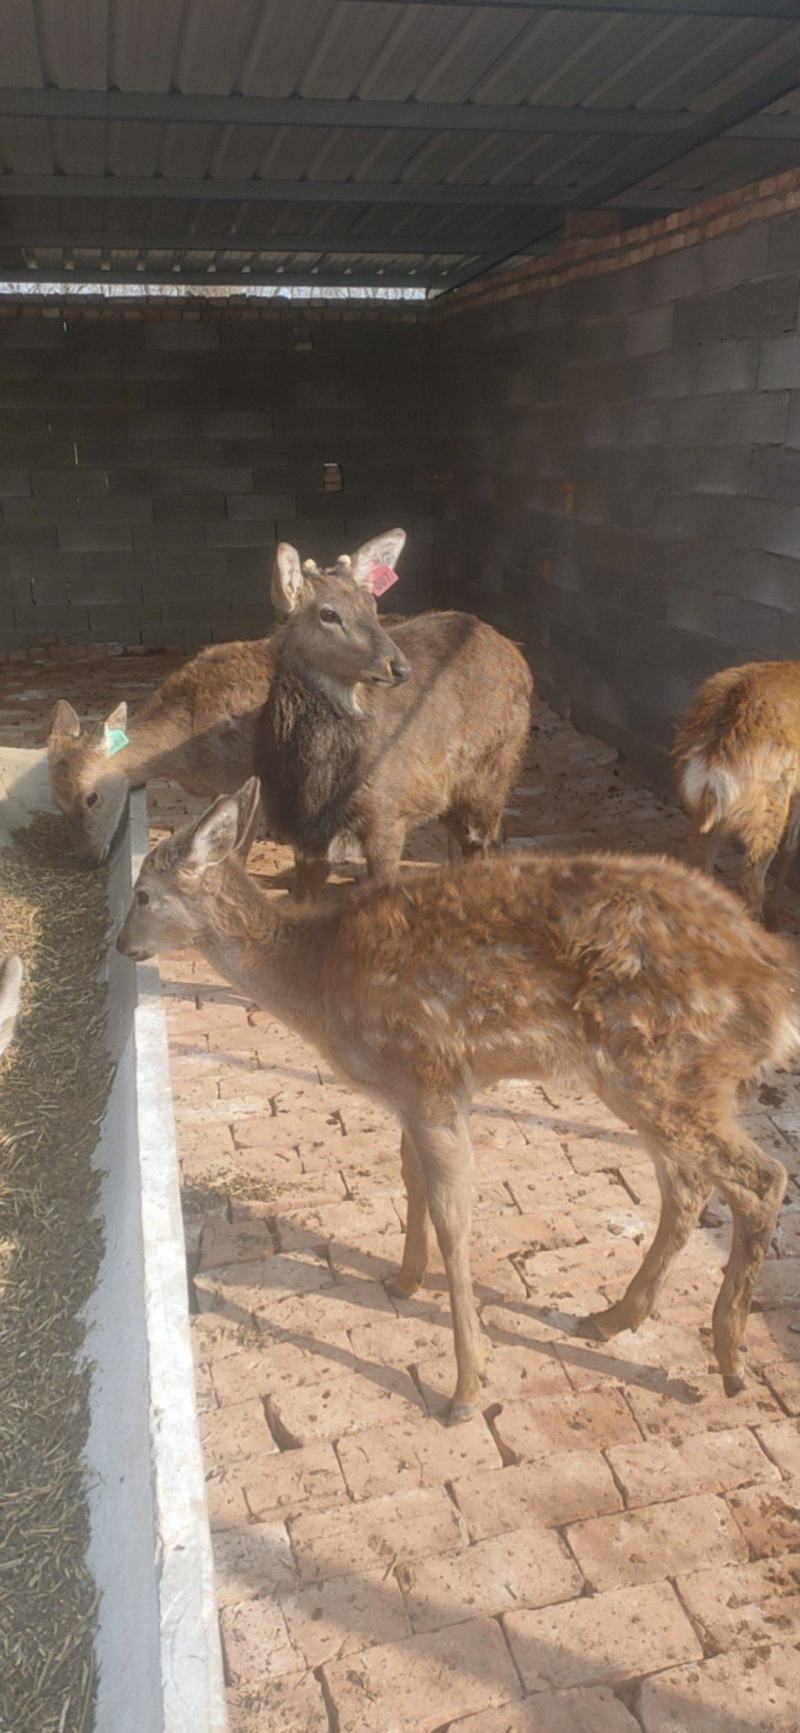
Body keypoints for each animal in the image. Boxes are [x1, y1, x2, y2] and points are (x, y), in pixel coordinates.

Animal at [117, 778, 796, 1422]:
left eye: (143, 895)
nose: (121, 946)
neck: (319, 979)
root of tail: (772, 982)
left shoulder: (428, 1079)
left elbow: (454, 1219)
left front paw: (466, 1387)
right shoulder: (416, 1091)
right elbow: (410, 1177)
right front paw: (404, 1279)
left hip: (659, 1069)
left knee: (760, 1177)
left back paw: (730, 1360)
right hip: (667, 1081)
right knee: (689, 1186)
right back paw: (611, 1319)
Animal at [256, 539, 533, 898]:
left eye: (372, 606)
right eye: (328, 613)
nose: (400, 667)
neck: (317, 785)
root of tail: (516, 655)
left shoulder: (387, 814)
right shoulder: (304, 834)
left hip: (492, 772)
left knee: (487, 843)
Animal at [674, 660, 800, 924]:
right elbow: (792, 846)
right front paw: (775, 911)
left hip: (704, 806)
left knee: (699, 859)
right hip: (767, 806)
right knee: (752, 873)